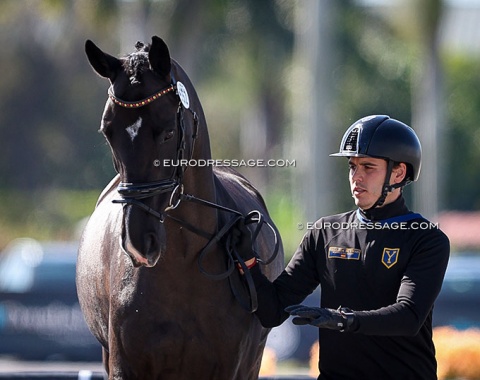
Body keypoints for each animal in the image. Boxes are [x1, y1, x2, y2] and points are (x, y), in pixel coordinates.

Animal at [76, 36, 284, 380]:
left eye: (168, 132)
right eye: (108, 133)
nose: (138, 242)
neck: (184, 260)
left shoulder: (230, 367)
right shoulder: (124, 365)